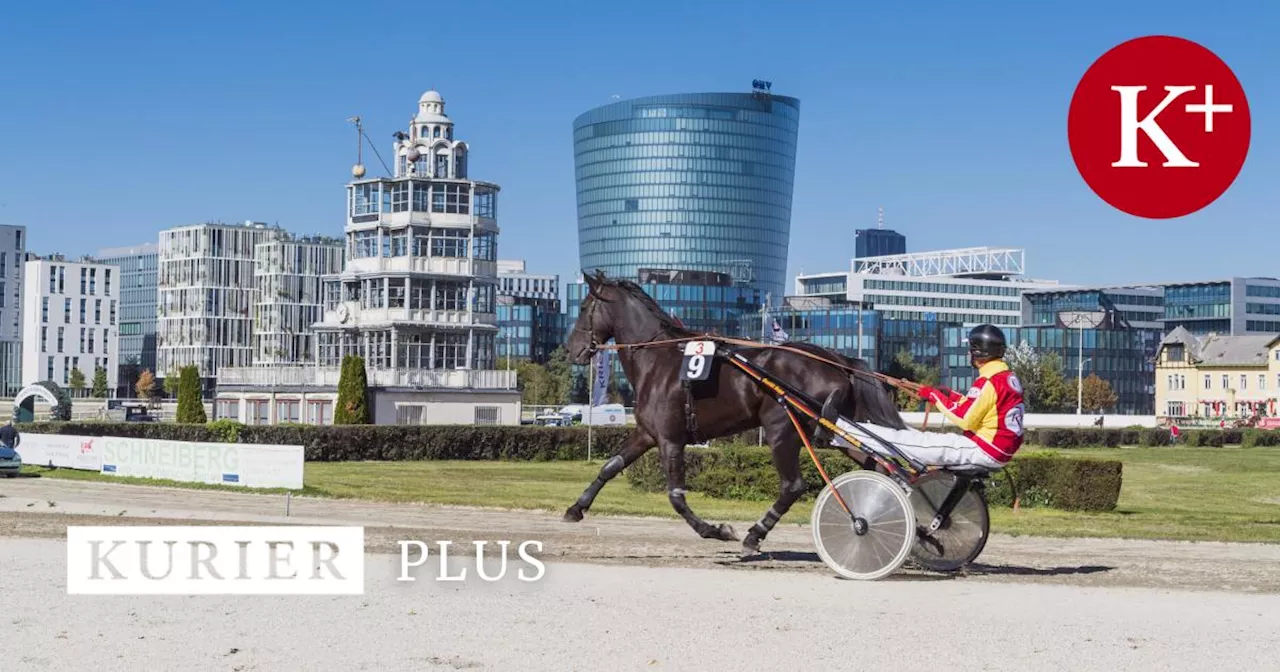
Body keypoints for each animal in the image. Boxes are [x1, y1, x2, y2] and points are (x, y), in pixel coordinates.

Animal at [563, 270, 911, 552]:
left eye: (583, 308)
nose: (571, 350)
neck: (658, 360)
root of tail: (837, 360)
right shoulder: (647, 433)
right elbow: (610, 467)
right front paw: (576, 508)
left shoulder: (670, 438)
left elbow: (676, 496)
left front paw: (716, 530)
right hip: (834, 432)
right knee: (880, 468)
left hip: (782, 428)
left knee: (793, 486)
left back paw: (755, 534)